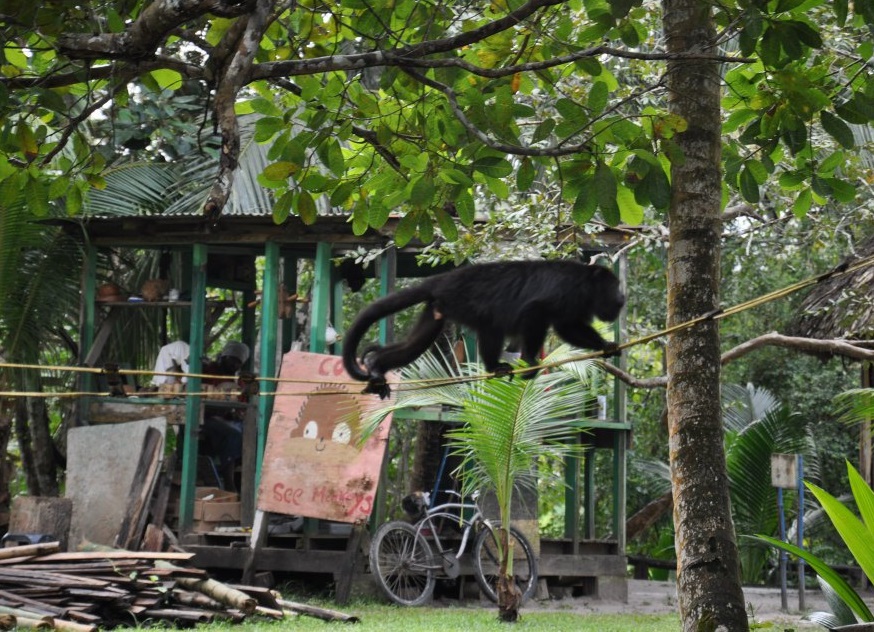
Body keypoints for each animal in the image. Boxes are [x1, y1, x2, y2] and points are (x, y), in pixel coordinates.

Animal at [344, 260, 624, 398]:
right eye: (614, 287)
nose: (623, 297)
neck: (586, 284)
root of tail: (444, 279)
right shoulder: (567, 291)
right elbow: (537, 311)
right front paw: (529, 360)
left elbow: (568, 327)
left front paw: (606, 345)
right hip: (463, 302)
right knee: (492, 323)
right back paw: (495, 367)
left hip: (437, 308)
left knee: (415, 345)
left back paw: (377, 366)